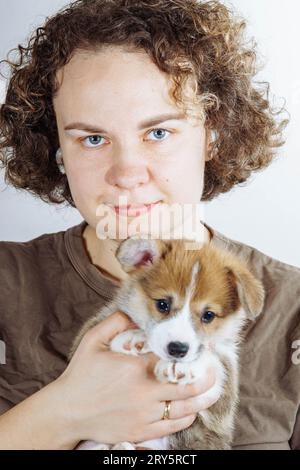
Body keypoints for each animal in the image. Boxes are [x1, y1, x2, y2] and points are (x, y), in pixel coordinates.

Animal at [71, 237, 264, 450]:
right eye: (162, 304)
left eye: (208, 315)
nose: (178, 349)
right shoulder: (87, 335)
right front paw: (132, 338)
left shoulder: (219, 407)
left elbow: (216, 363)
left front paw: (185, 366)